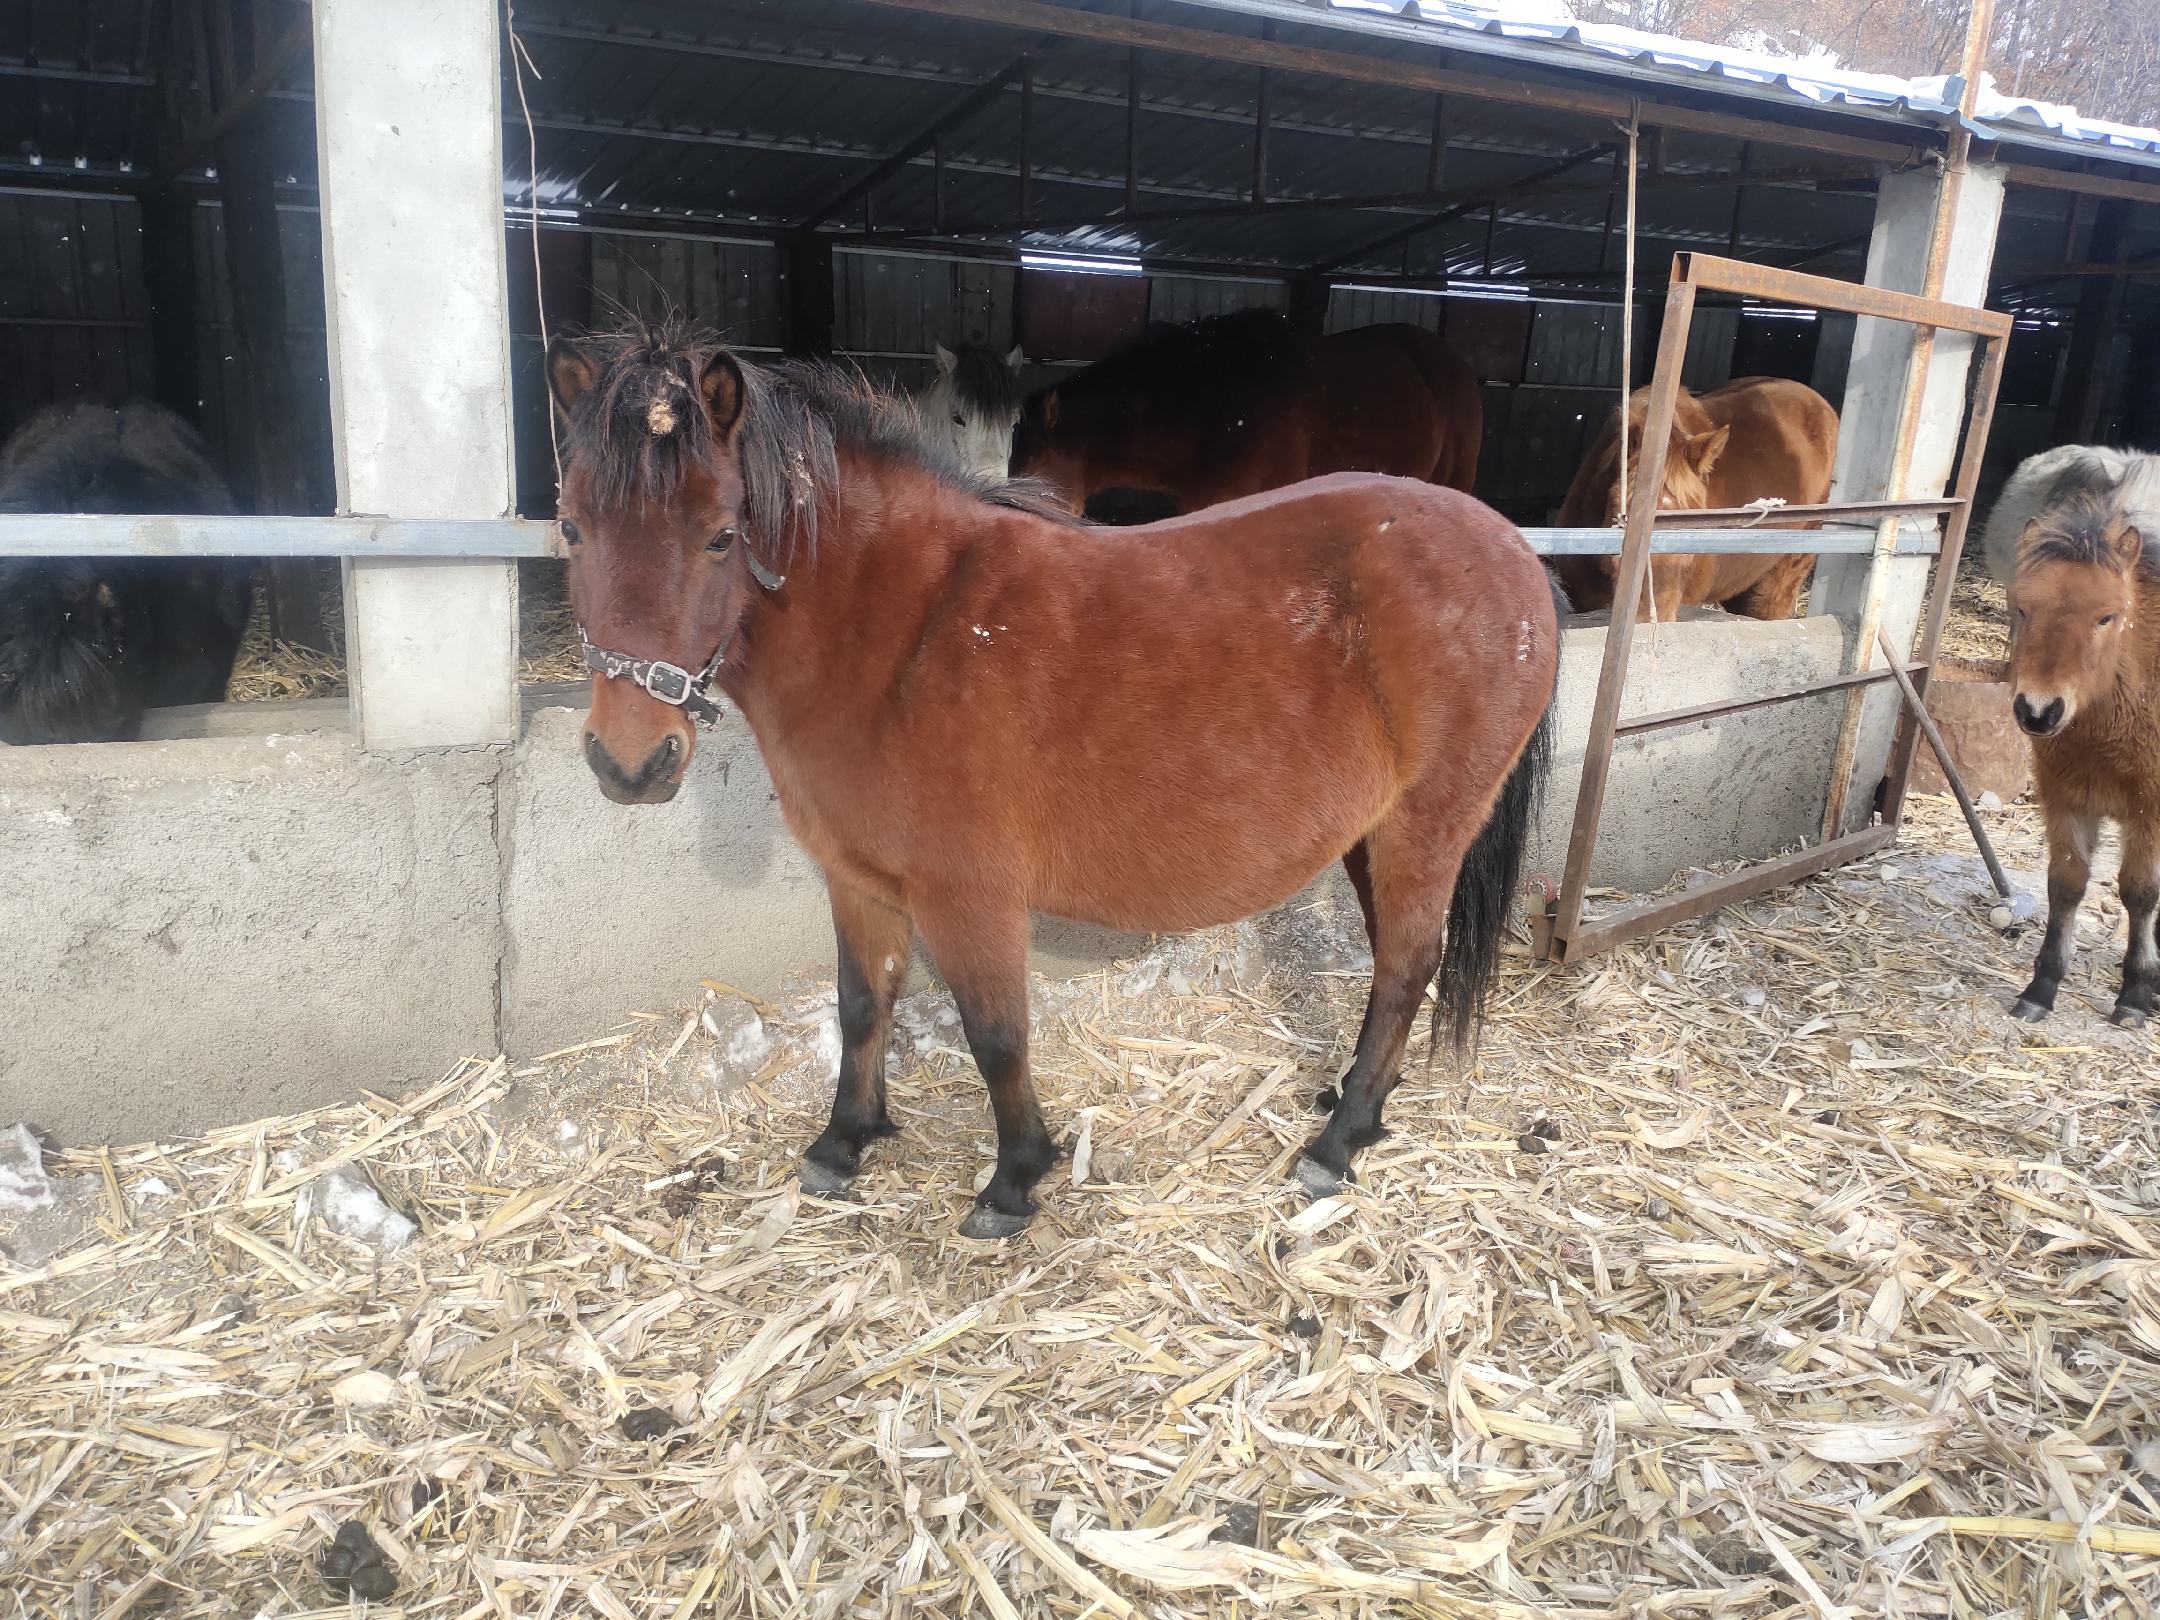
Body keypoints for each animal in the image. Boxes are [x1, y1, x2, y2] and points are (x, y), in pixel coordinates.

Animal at [2001, 482, 2160, 1029]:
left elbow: (2140, 892)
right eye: (2021, 609)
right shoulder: (2066, 799)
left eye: (2107, 617)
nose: (2038, 711)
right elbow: (2066, 885)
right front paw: (2042, 987)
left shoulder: (2149, 810)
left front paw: (2135, 993)